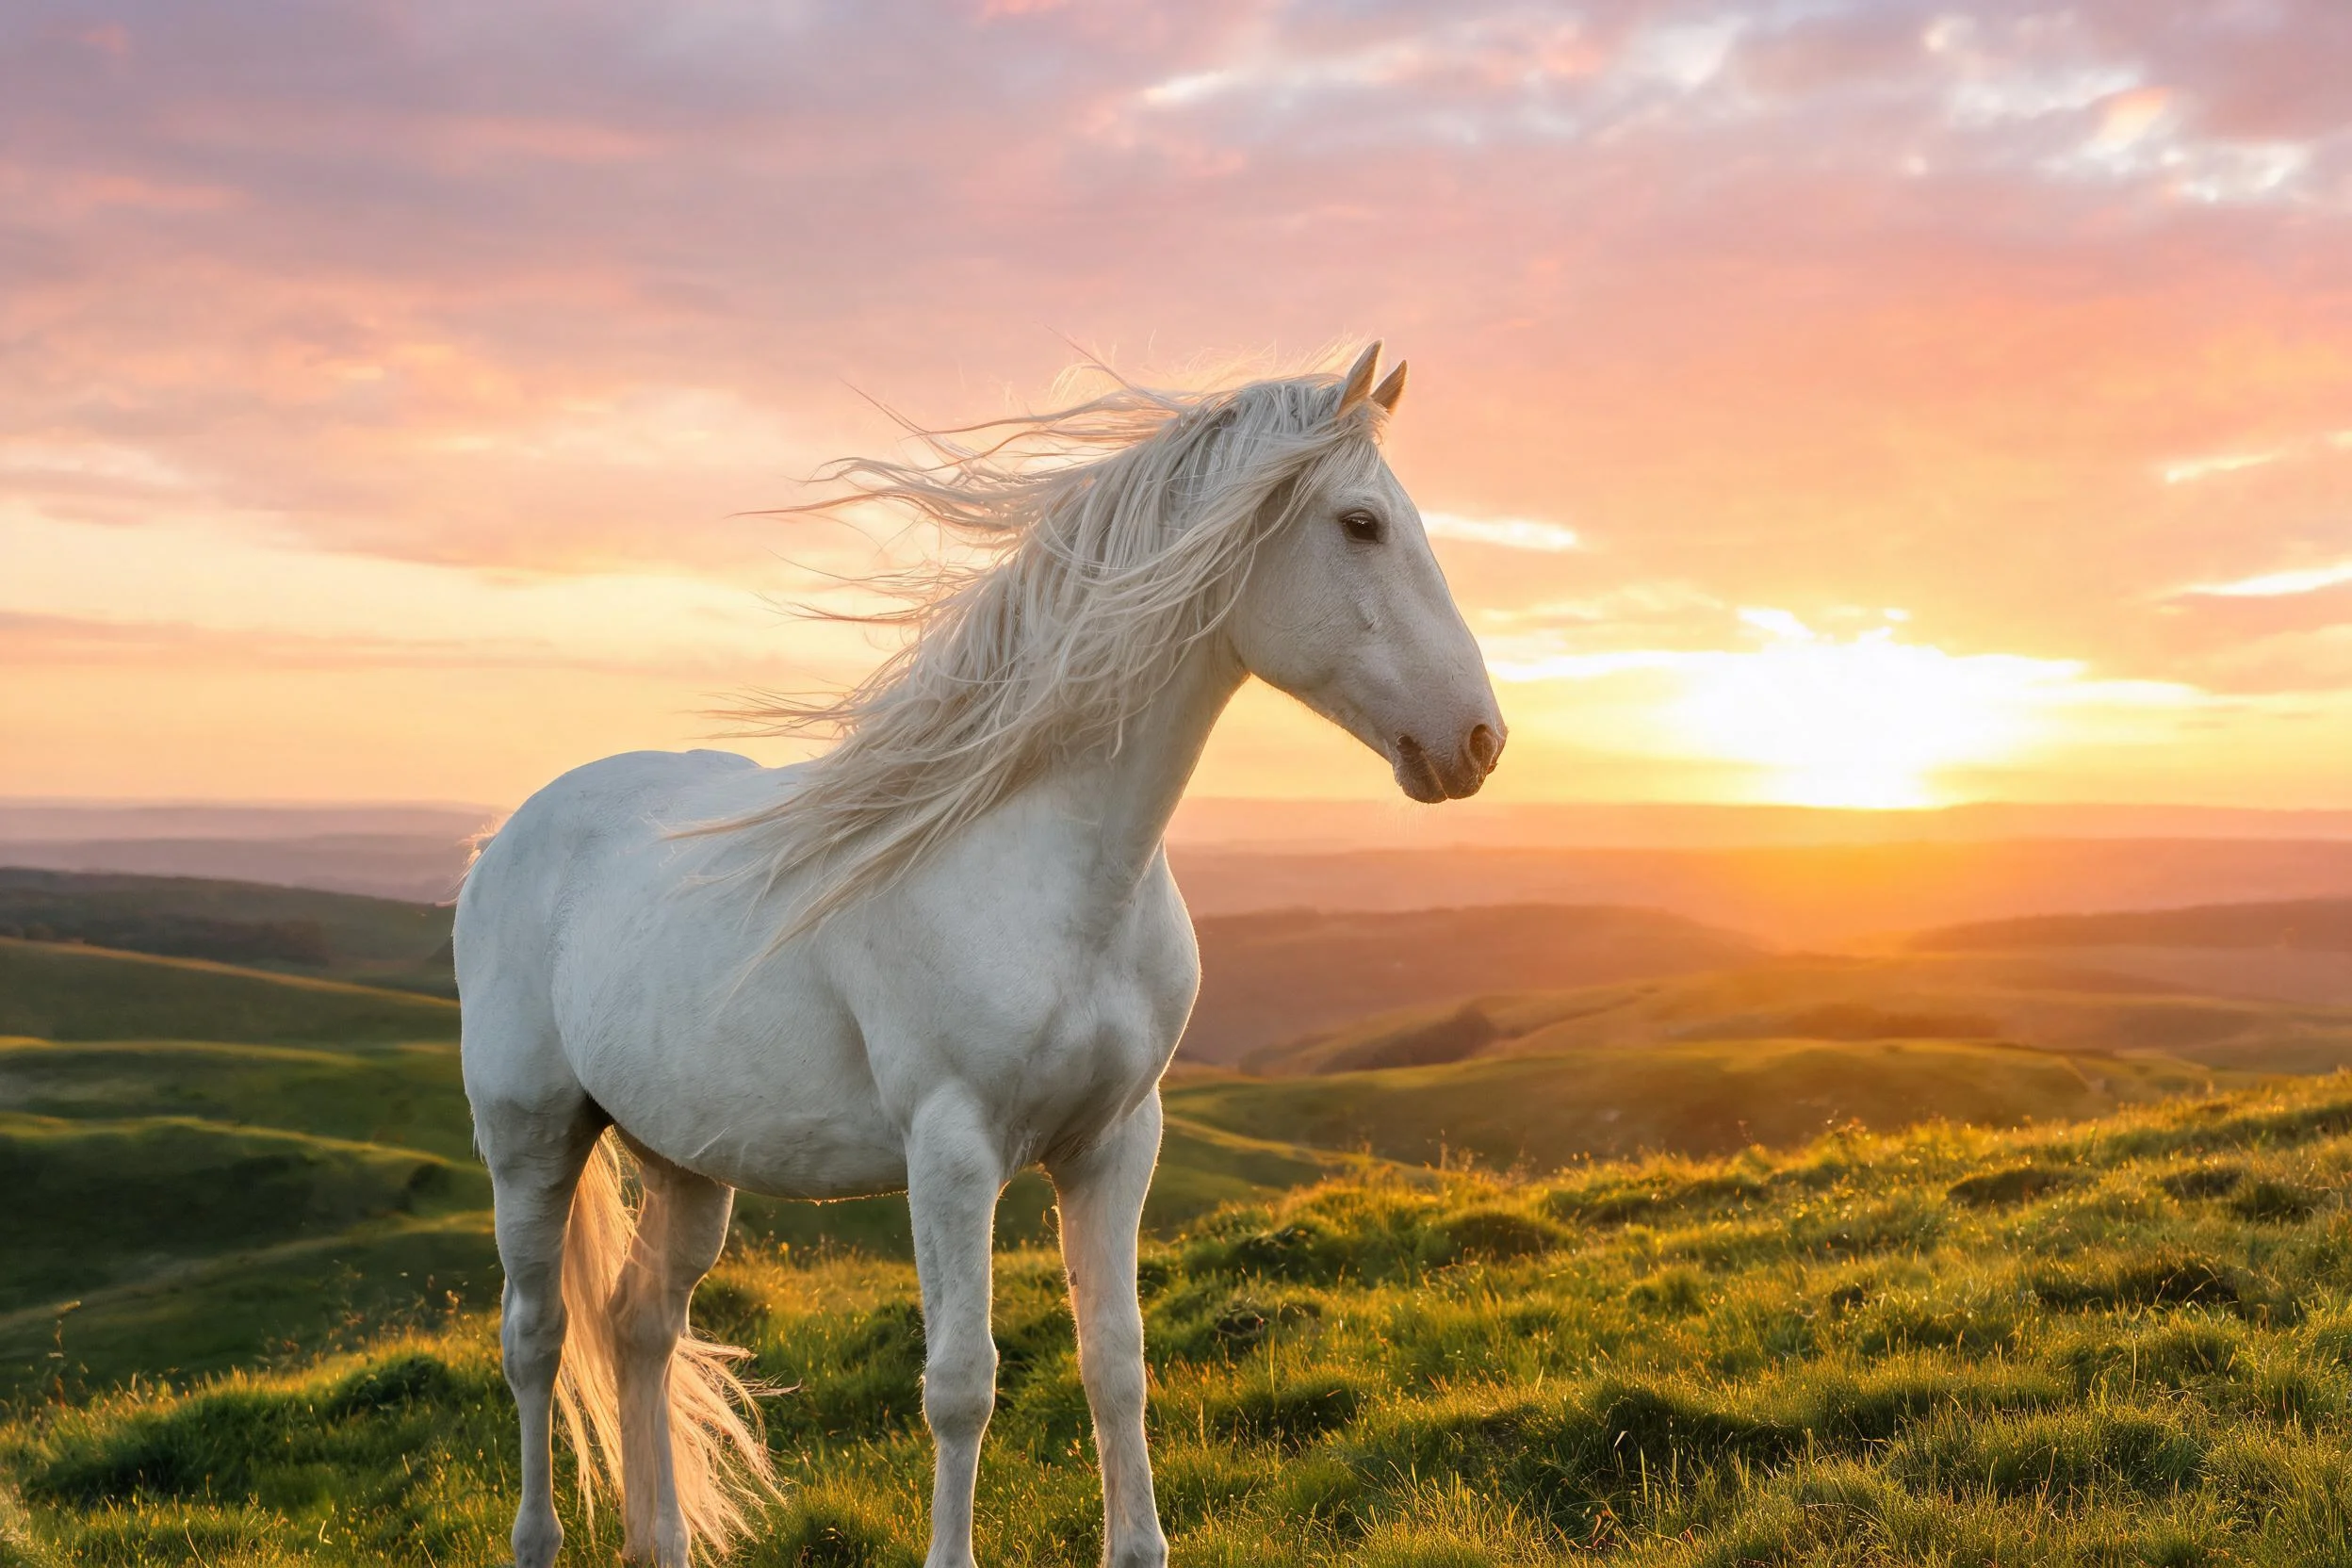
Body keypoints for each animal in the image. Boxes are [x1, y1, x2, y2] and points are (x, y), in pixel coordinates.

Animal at [455, 342, 1505, 1568]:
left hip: (682, 1157)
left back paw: (656, 1539)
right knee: (535, 1335)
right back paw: (537, 1534)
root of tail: (509, 834)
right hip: (531, 1137)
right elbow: (961, 1383)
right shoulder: (951, 1152)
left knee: (639, 1326)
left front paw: (1137, 1542)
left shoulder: (1115, 1141)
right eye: (1361, 524)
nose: (1478, 741)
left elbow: (1116, 1360)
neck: (1057, 869)